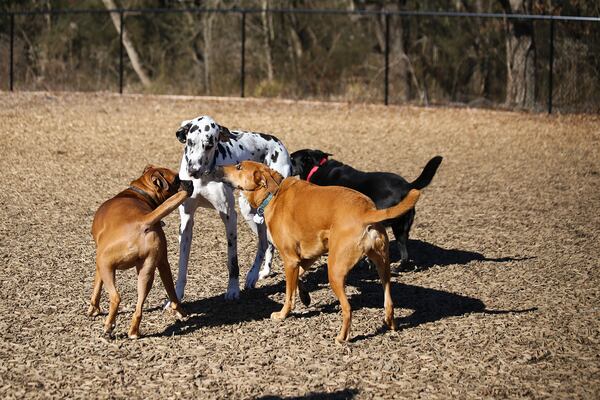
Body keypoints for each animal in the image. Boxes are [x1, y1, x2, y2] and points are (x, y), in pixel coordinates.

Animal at [88, 165, 192, 338]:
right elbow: (172, 293)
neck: (140, 193)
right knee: (142, 306)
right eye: (177, 179)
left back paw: (109, 326)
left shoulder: (99, 266)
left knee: (116, 297)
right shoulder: (163, 262)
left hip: (104, 262)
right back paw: (134, 331)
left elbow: (97, 287)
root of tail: (142, 221)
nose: (190, 182)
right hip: (147, 272)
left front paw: (93, 309)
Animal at [171, 115, 292, 300]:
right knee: (267, 243)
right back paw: (262, 272)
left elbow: (232, 260)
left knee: (265, 243)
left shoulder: (229, 216)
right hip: (249, 212)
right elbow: (182, 264)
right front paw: (176, 297)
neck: (203, 178)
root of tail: (277, 142)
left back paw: (252, 275)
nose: (193, 170)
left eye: (209, 145)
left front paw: (233, 290)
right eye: (190, 142)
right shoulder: (186, 219)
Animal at [218, 161, 420, 342]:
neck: (273, 194)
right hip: (382, 265)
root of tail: (367, 211)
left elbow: (288, 292)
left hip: (335, 270)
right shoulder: (309, 254)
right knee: (389, 300)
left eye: (238, 166)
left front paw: (283, 314)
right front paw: (305, 297)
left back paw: (342, 338)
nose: (218, 167)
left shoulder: (290, 259)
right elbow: (298, 277)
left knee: (348, 308)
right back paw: (391, 324)